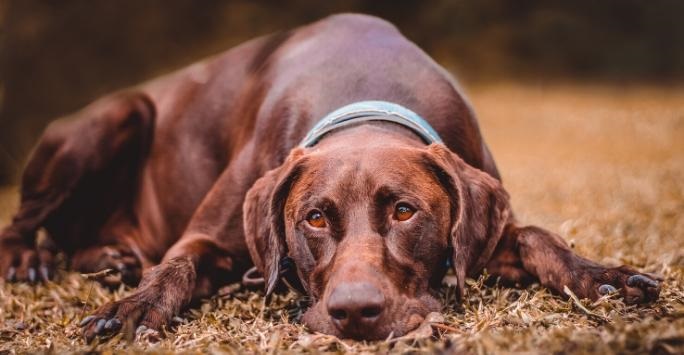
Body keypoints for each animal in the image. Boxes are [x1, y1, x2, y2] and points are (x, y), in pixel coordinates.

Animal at [1, 14, 664, 342]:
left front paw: (603, 276)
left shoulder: (484, 228)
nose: (354, 312)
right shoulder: (207, 235)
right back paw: (36, 262)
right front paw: (134, 307)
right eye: (314, 218)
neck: (364, 95)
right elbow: (176, 267)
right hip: (117, 115)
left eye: (405, 211)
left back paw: (113, 257)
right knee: (24, 223)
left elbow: (537, 238)